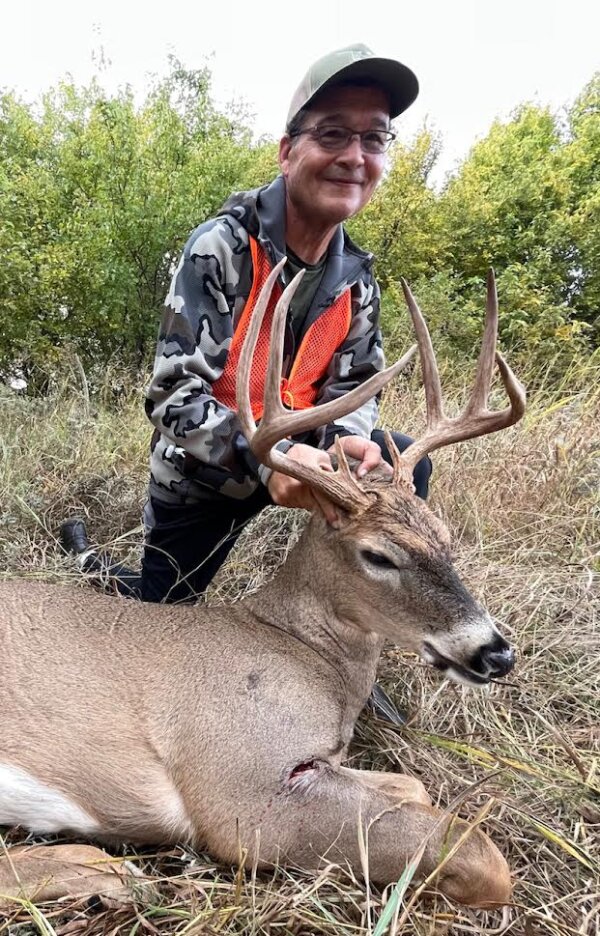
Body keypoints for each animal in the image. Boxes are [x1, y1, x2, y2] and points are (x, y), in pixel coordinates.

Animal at [0, 263, 525, 908]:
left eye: (444, 534)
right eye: (378, 555)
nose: (495, 652)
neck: (304, 654)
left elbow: (412, 786)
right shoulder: (241, 788)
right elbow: (481, 855)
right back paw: (110, 872)